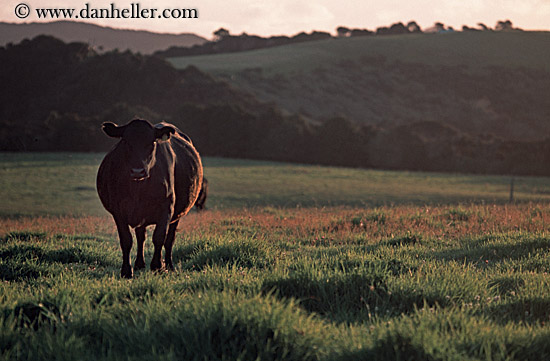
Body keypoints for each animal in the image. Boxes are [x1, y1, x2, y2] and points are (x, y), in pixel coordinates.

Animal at [98, 117, 204, 276]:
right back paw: (139, 264)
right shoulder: (118, 211)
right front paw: (126, 271)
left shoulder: (167, 208)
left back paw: (169, 265)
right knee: (141, 236)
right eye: (125, 142)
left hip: (177, 215)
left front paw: (157, 266)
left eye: (152, 142)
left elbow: (159, 237)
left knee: (169, 239)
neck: (138, 189)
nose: (138, 171)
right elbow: (126, 240)